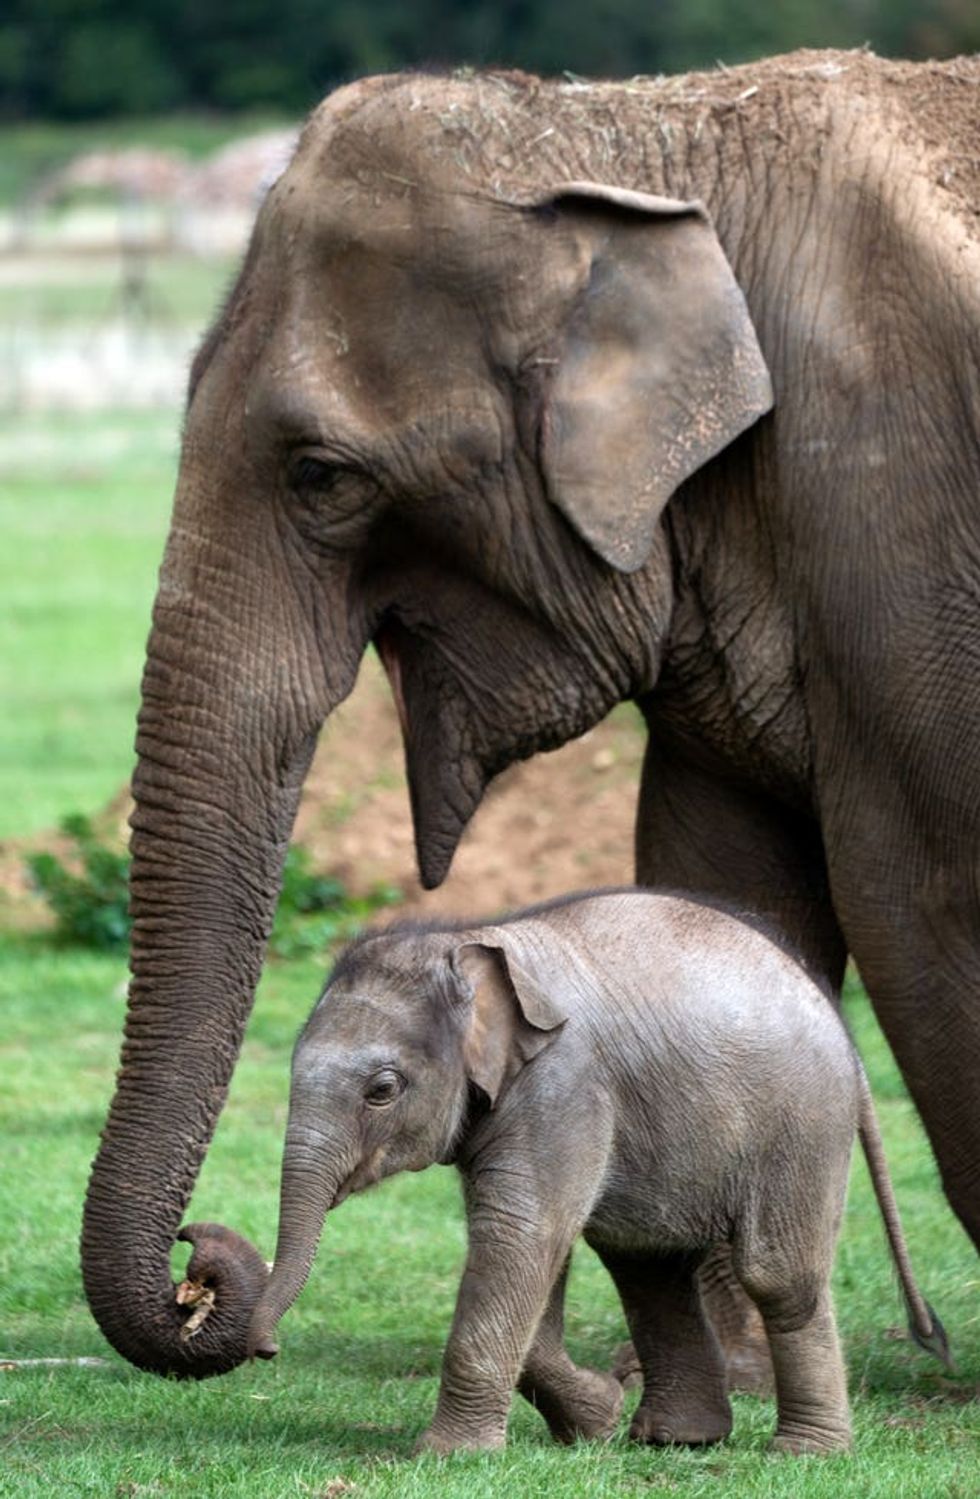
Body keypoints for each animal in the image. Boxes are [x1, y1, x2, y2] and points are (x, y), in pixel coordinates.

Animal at [81, 48, 980, 1382]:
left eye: (319, 475)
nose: (201, 1266)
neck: (636, 129)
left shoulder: (894, 493)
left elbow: (922, 889)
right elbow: (722, 884)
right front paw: (703, 1378)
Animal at [243, 889, 946, 1455]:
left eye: (383, 1090)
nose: (267, 1349)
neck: (468, 944)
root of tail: (848, 1039)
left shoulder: (562, 1084)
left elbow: (521, 1236)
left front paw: (446, 1457)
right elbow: (535, 1252)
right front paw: (597, 1419)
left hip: (802, 1125)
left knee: (776, 1276)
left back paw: (804, 1454)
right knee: (648, 1266)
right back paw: (677, 1440)